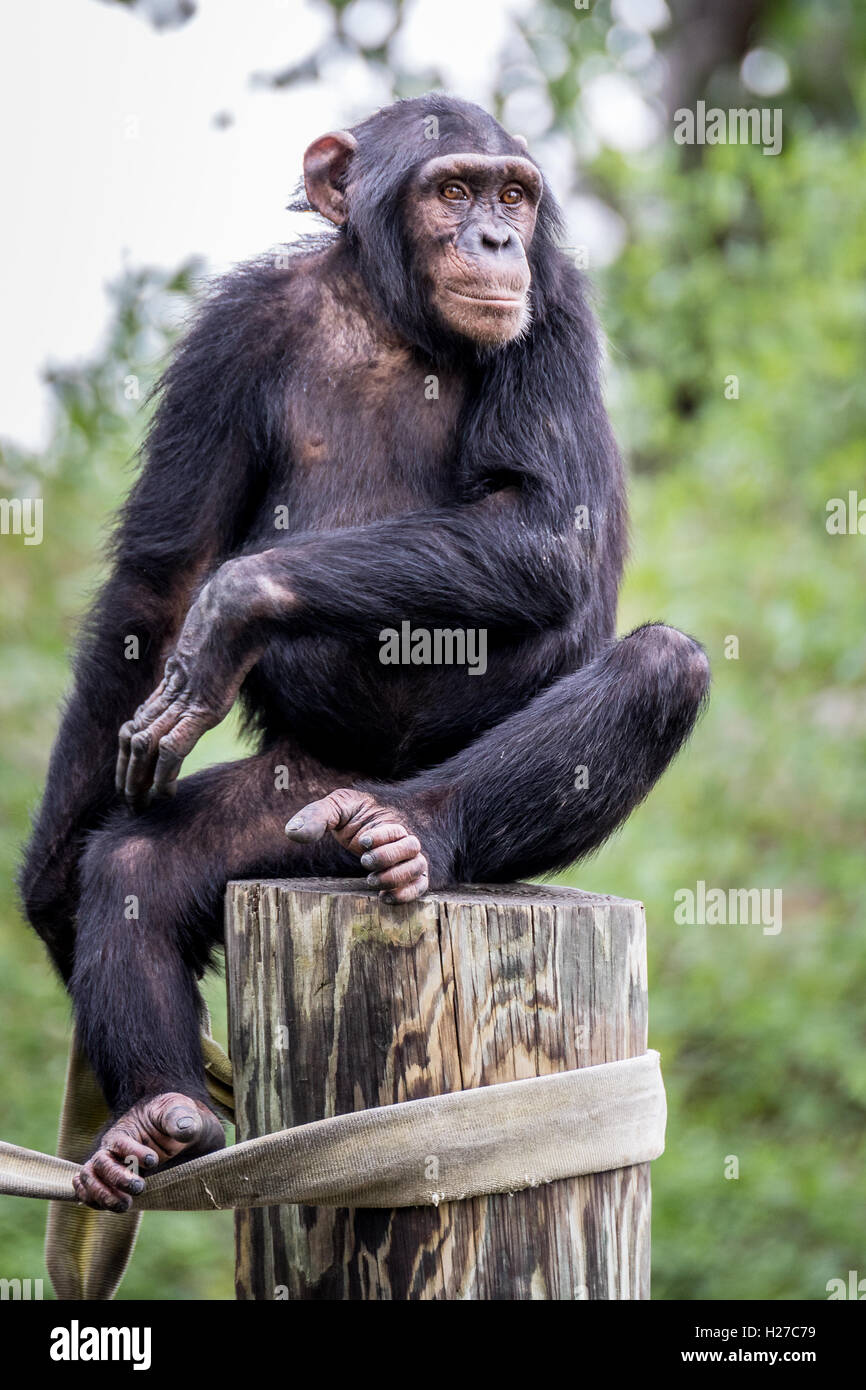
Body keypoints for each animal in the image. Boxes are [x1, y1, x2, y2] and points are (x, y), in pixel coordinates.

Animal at [18, 95, 711, 1206]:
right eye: (452, 189)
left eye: (514, 194)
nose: (495, 239)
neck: (393, 316)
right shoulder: (229, 331)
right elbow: (161, 575)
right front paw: (45, 895)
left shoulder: (554, 305)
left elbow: (545, 526)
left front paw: (237, 608)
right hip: (293, 795)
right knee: (137, 862)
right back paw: (157, 1120)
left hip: (426, 794)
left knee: (660, 668)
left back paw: (411, 830)